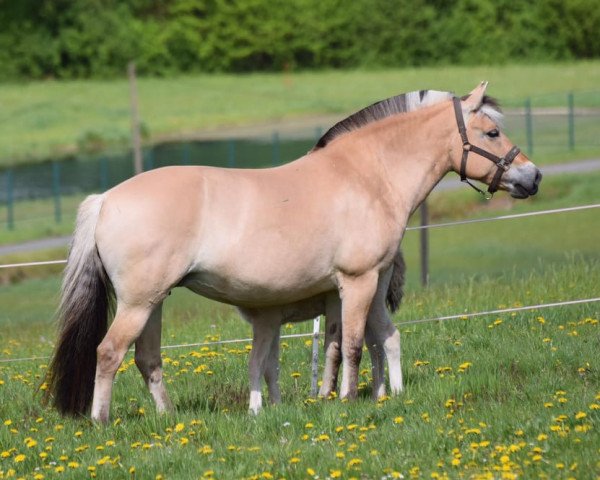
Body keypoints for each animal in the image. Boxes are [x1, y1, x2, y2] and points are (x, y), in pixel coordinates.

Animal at [44, 83, 540, 424]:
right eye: (492, 131)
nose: (532, 176)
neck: (367, 175)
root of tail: (106, 198)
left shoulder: (363, 286)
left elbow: (368, 341)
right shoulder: (357, 281)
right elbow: (353, 345)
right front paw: (347, 401)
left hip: (152, 303)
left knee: (147, 360)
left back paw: (170, 420)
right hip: (137, 303)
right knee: (109, 352)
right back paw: (102, 421)